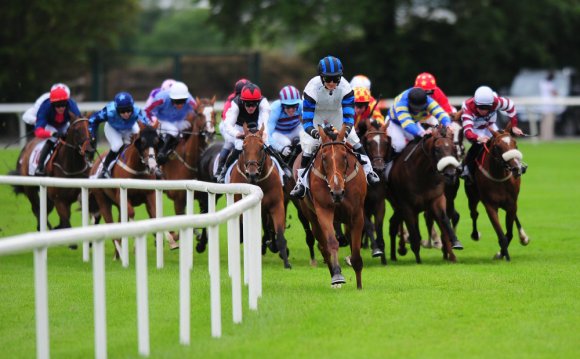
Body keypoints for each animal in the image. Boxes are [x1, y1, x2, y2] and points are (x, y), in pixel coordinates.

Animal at [88, 125, 161, 260]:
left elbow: (155, 214)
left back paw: (117, 255)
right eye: (142, 142)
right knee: (110, 224)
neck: (136, 169)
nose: (153, 166)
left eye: (156, 142)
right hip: (102, 200)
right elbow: (131, 213)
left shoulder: (150, 194)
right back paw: (120, 254)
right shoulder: (123, 196)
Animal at [227, 123, 290, 268]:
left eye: (261, 147)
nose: (252, 174)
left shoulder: (276, 205)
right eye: (244, 147)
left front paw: (287, 263)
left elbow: (280, 234)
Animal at [294, 125, 368, 288]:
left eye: (344, 156)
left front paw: (360, 286)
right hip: (312, 216)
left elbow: (356, 252)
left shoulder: (357, 214)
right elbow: (331, 243)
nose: (337, 193)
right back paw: (334, 275)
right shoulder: (324, 210)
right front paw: (338, 276)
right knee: (323, 246)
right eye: (323, 158)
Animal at [386, 126, 462, 264]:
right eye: (437, 149)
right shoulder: (407, 205)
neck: (422, 173)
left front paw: (455, 244)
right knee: (396, 224)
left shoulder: (437, 198)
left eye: (454, 148)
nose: (450, 174)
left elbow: (444, 220)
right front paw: (418, 259)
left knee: (393, 223)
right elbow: (414, 231)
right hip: (396, 204)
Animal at [462, 122, 532, 260]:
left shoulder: (512, 203)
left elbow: (509, 233)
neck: (499, 178)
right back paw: (475, 234)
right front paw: (504, 256)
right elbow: (501, 235)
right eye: (498, 147)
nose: (516, 168)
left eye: (515, 144)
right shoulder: (490, 206)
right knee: (474, 213)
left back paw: (523, 237)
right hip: (472, 196)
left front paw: (502, 254)